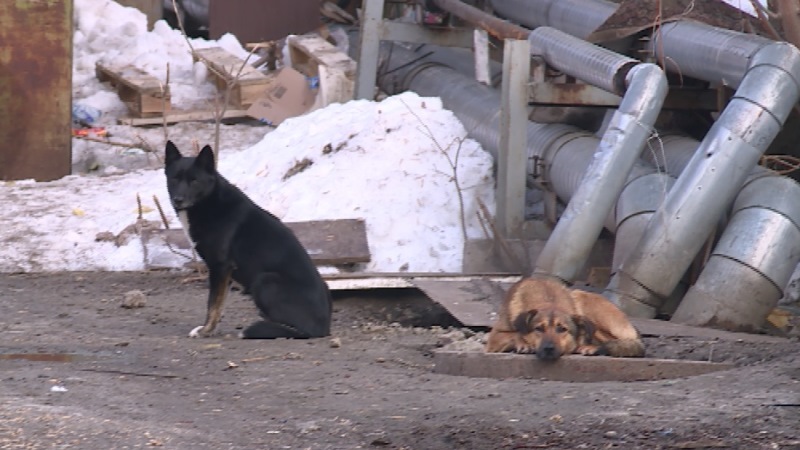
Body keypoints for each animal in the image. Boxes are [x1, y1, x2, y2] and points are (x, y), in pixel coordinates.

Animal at [165, 141, 332, 338]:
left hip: (264, 280)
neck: (210, 202)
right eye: (174, 179)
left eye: (194, 180)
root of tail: (321, 328)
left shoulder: (220, 267)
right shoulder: (225, 273)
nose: (178, 200)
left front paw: (205, 330)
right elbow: (219, 305)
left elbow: (212, 304)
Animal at [482, 276, 644, 360]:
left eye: (562, 329)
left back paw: (590, 347)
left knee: (617, 341)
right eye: (539, 329)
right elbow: (515, 334)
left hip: (582, 298)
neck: (548, 298)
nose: (548, 349)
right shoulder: (494, 337)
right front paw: (524, 343)